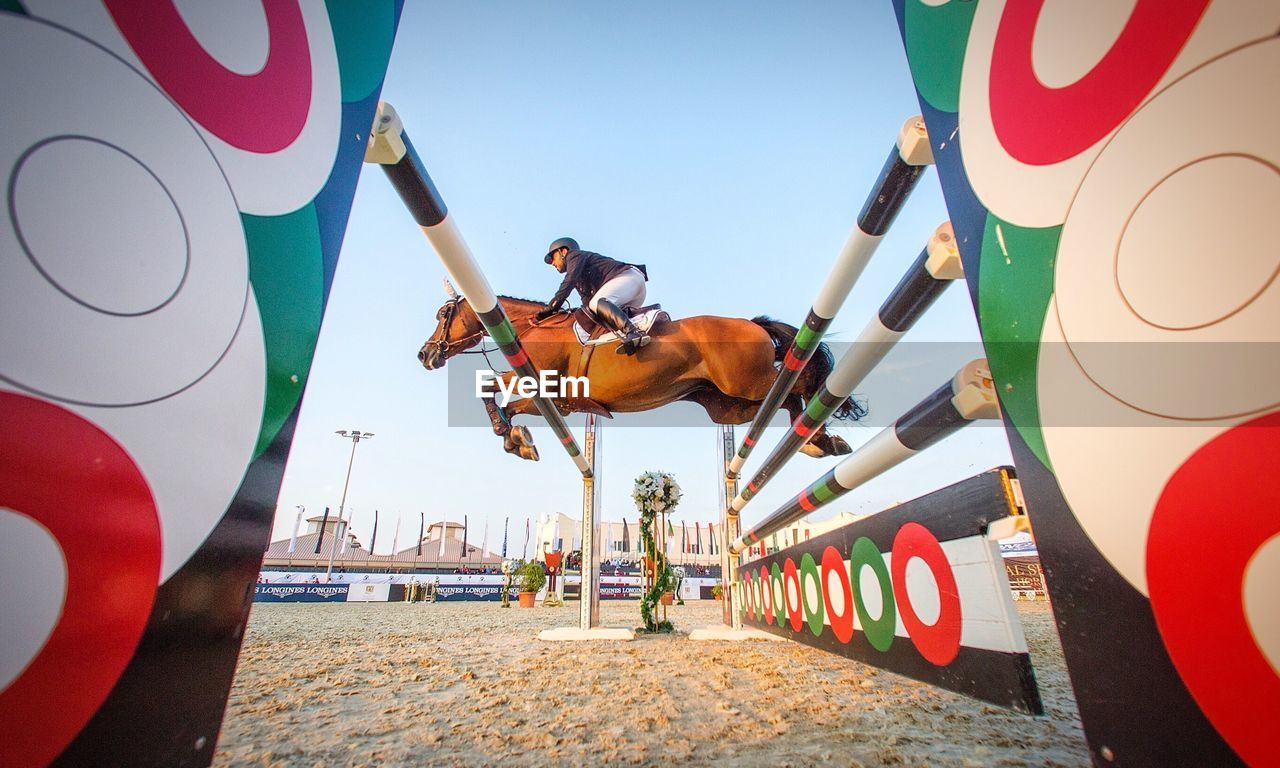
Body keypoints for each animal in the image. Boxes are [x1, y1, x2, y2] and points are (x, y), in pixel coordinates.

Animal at [417, 294, 860, 460]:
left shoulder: (539, 381)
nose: (425, 354)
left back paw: (820, 438)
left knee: (797, 386)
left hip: (747, 384)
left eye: (443, 314)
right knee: (783, 400)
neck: (533, 328)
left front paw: (510, 436)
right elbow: (512, 407)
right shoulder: (558, 401)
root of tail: (752, 323)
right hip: (730, 405)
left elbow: (488, 387)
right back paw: (817, 441)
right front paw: (516, 439)